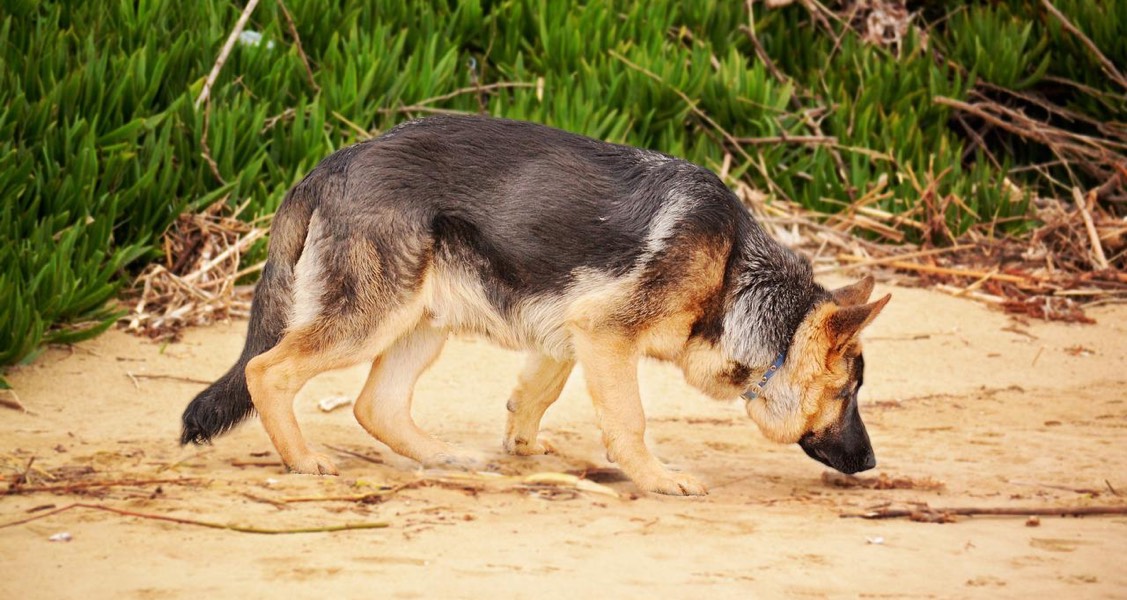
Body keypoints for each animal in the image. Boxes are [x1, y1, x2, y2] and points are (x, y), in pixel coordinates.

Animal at [182, 115, 888, 493]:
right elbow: (629, 421)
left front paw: (521, 446)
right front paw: (656, 478)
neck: (737, 276)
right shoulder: (606, 334)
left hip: (420, 323)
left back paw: (444, 457)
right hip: (368, 320)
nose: (872, 461)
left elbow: (536, 395)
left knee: (374, 405)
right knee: (265, 370)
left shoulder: (572, 332)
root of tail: (328, 165)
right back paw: (303, 461)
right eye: (848, 394)